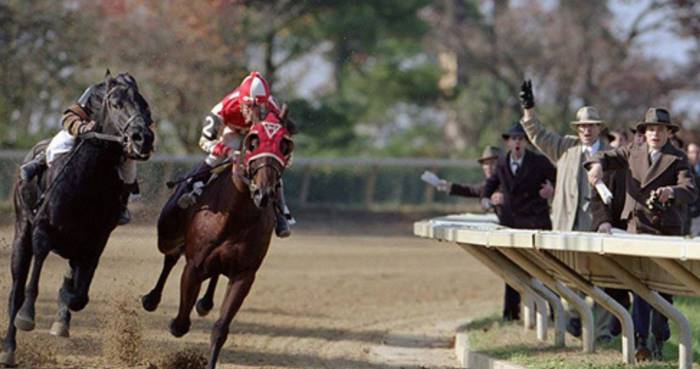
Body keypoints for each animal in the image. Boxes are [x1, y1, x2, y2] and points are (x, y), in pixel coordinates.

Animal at [1, 71, 154, 366]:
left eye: (145, 105)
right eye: (115, 104)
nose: (142, 138)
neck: (86, 184)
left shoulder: (96, 241)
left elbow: (78, 296)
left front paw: (62, 314)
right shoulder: (42, 228)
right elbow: (35, 272)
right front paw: (27, 316)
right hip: (21, 230)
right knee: (16, 289)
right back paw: (9, 349)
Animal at [141, 118, 294, 368]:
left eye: (284, 146)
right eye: (253, 143)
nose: (264, 193)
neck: (236, 216)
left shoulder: (244, 275)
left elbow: (220, 329)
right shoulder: (194, 266)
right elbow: (181, 323)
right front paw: (173, 323)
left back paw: (204, 303)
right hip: (167, 233)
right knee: (170, 257)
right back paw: (151, 299)